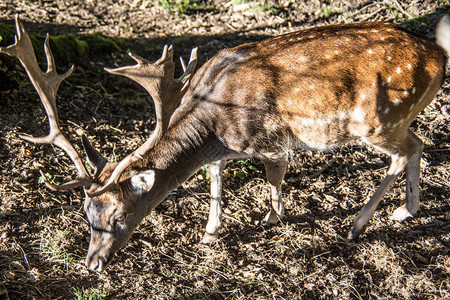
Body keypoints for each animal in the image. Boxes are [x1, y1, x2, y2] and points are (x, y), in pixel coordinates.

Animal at [3, 15, 450, 270]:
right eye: (85, 214)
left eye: (119, 217)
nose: (92, 264)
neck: (215, 127)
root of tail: (439, 54)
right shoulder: (222, 154)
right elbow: (215, 180)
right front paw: (209, 232)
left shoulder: (271, 142)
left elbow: (273, 179)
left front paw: (271, 218)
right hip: (396, 120)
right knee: (421, 142)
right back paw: (404, 211)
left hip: (378, 120)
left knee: (406, 152)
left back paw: (362, 224)